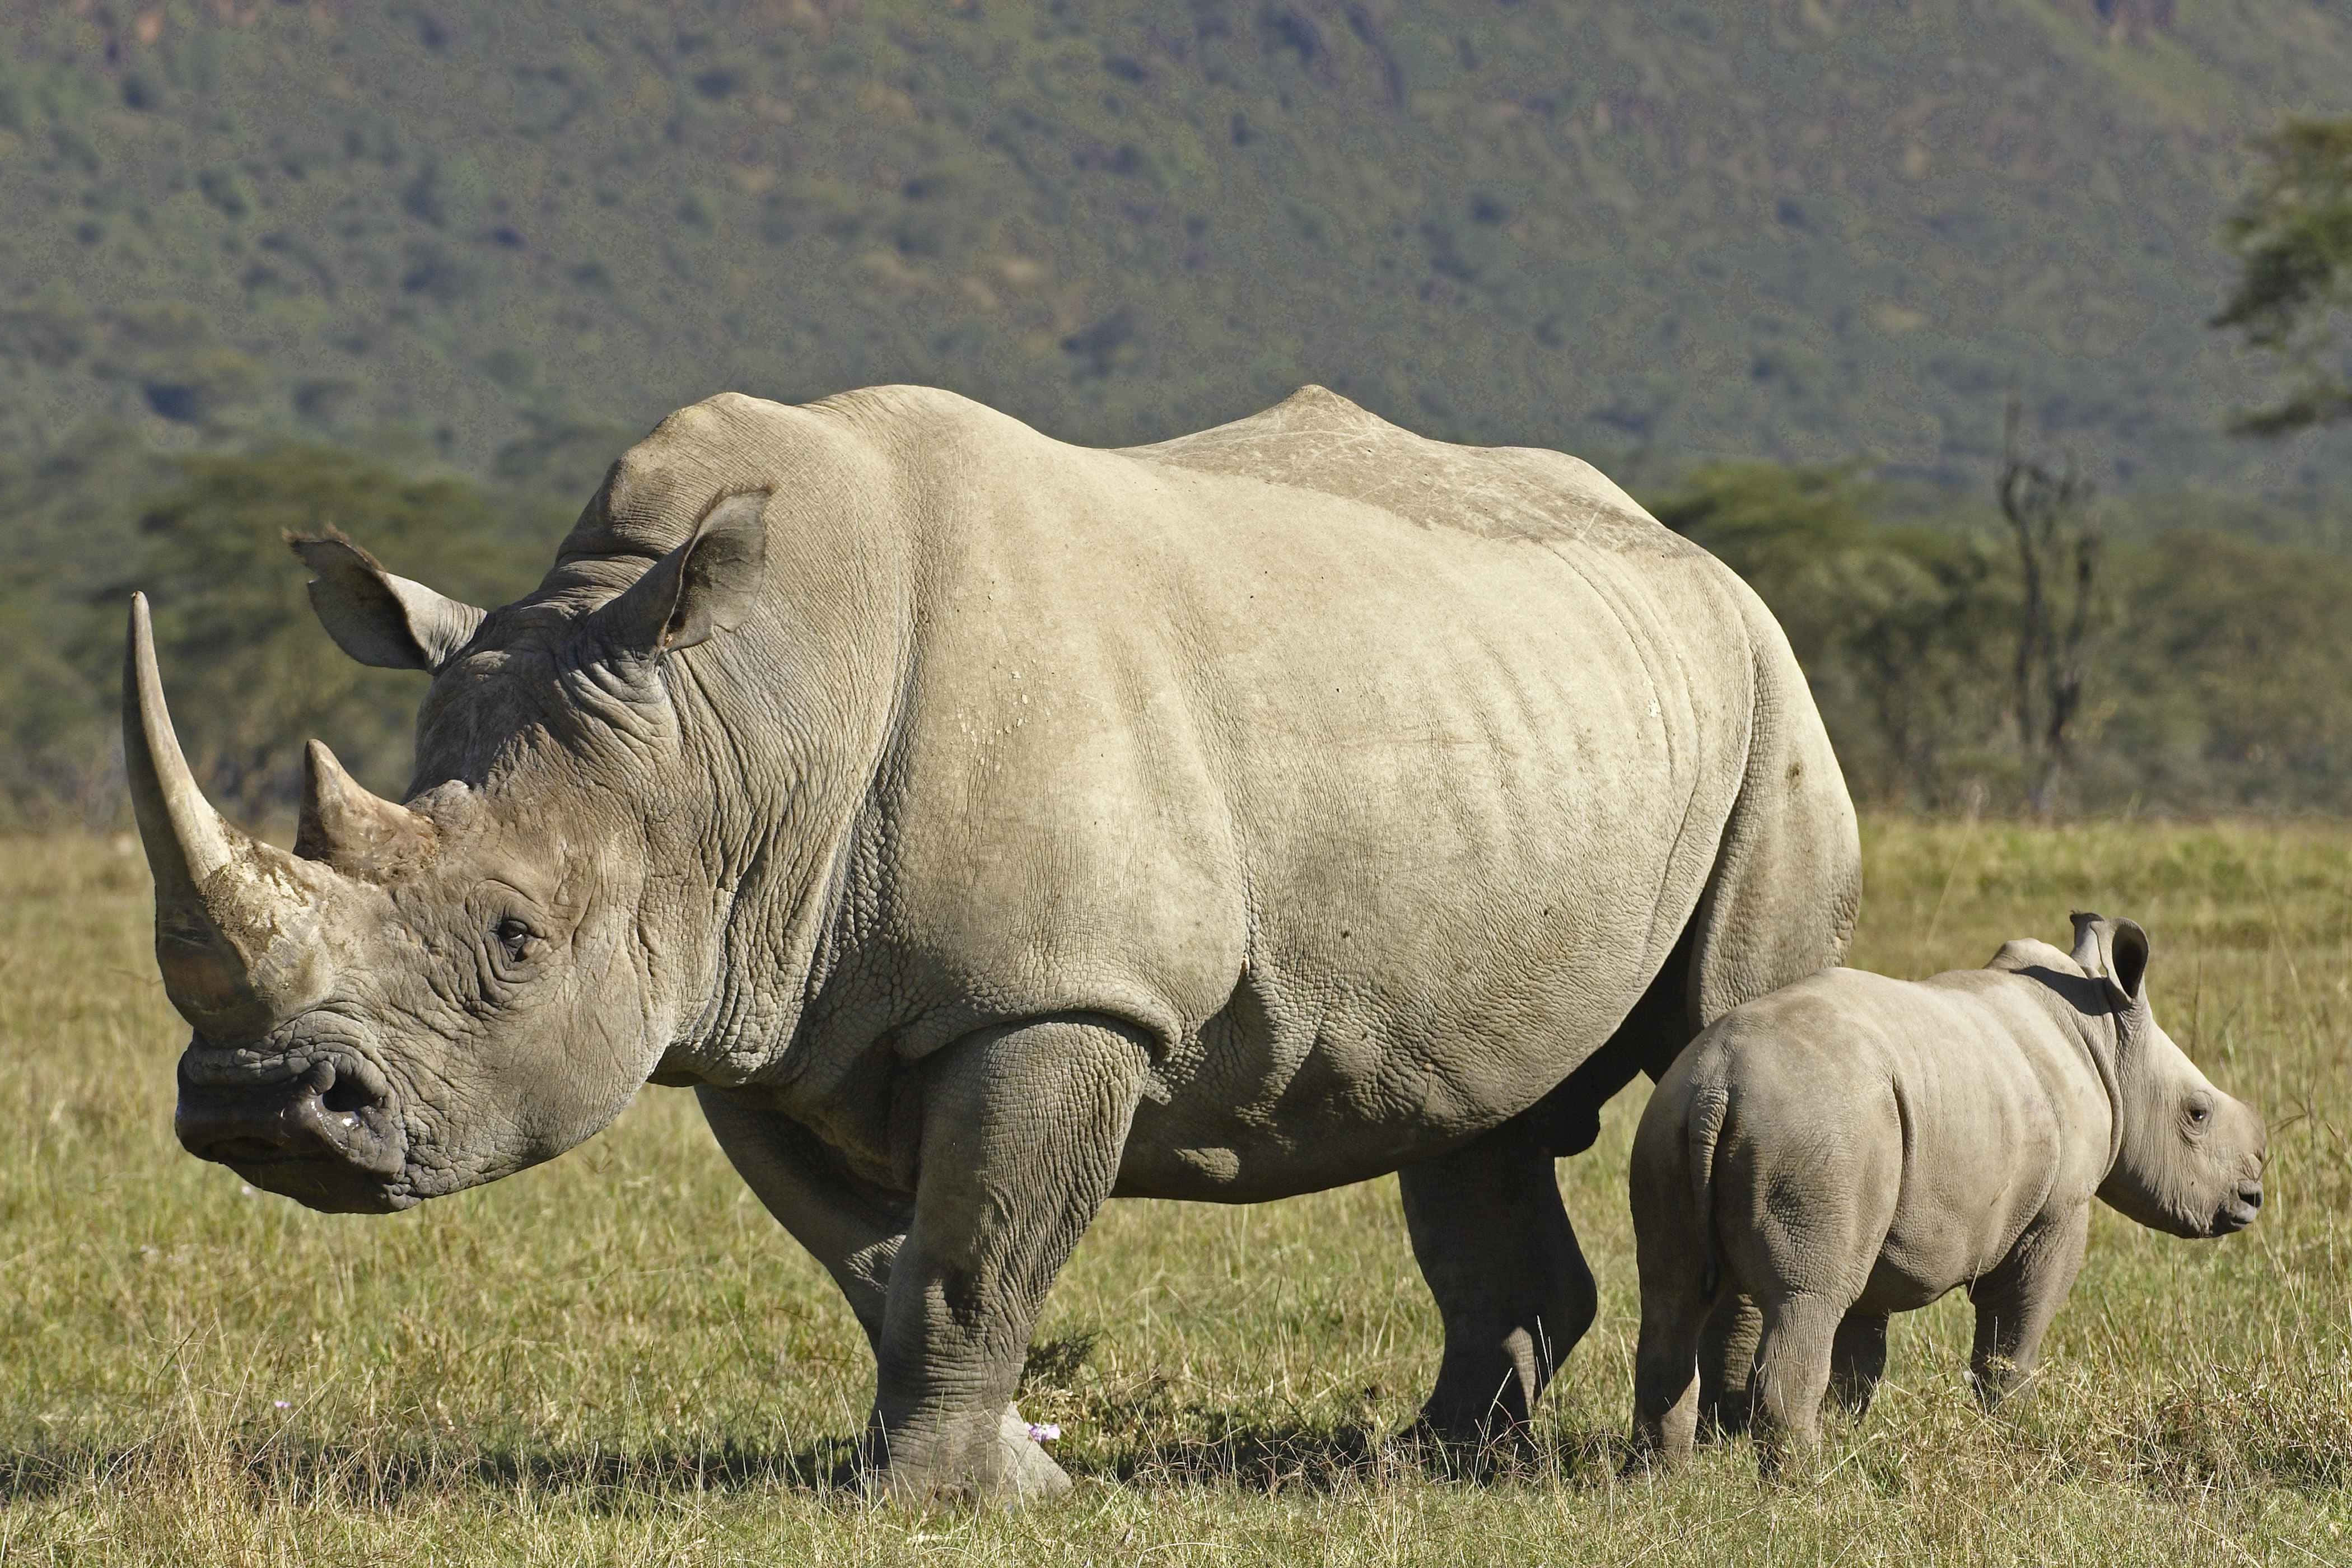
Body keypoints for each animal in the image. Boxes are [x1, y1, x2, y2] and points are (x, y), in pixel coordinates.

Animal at [125, 384, 1860, 1500]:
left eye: (514, 938)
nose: (260, 1110)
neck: (734, 724)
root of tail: (1683, 544)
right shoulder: (754, 1005)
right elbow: (881, 1254)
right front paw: (1005, 1463)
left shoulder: (1055, 1000)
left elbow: (976, 1246)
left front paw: (944, 1505)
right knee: (1466, 1110)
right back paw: (1432, 1461)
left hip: (1774, 695)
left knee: (1735, 1035)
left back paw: (1726, 1453)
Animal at [1627, 913, 2267, 1474]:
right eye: (2197, 1114)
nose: (2253, 1198)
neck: (2108, 1042)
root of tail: (1720, 1081)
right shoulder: (2056, 1211)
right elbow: (2014, 1331)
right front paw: (2013, 1432)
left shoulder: (1880, 1216)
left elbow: (1860, 1353)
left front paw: (1848, 1438)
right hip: (1815, 1128)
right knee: (1807, 1298)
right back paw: (1802, 1486)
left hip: (1677, 1121)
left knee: (1670, 1294)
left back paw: (1660, 1481)